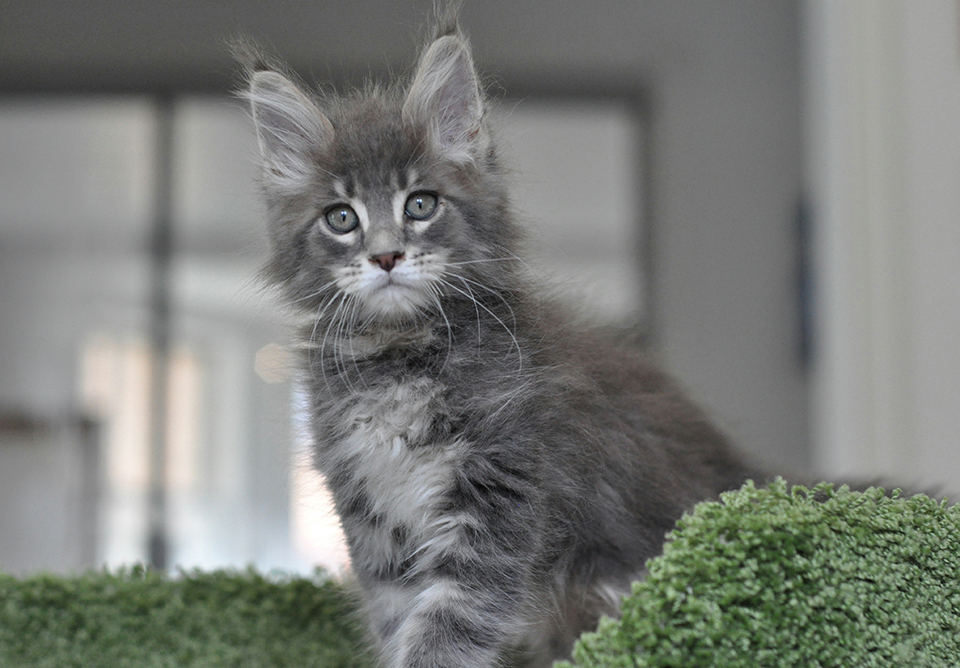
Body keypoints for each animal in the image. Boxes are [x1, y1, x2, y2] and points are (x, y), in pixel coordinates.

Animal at [244, 13, 760, 668]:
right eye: (341, 217)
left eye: (420, 204)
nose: (385, 256)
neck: (399, 355)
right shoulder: (373, 521)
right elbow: (398, 619)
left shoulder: (502, 493)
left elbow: (448, 623)